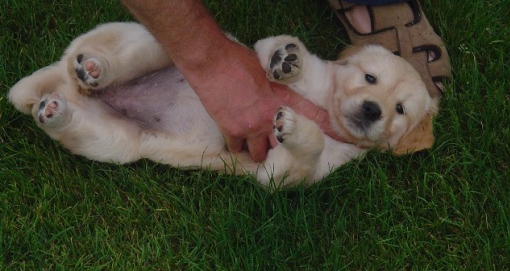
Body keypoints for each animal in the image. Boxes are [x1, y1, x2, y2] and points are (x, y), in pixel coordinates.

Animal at [7, 22, 438, 188]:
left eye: (400, 110)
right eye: (369, 78)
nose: (372, 109)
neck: (326, 106)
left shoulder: (283, 173)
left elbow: (305, 153)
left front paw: (297, 127)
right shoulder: (258, 56)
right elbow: (274, 51)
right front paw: (287, 62)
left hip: (113, 142)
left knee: (74, 121)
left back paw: (56, 109)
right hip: (153, 43)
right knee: (107, 57)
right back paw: (95, 68)